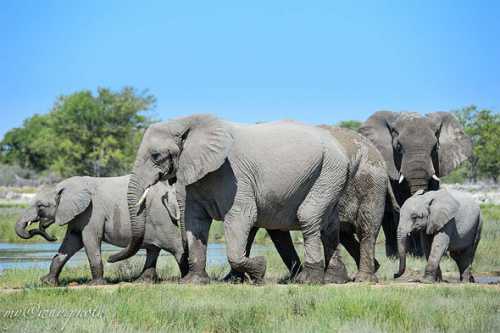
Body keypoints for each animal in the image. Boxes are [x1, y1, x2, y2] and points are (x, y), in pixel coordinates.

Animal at [16, 175, 188, 284]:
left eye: (41, 206)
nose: (51, 236)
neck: (63, 186)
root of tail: (170, 195)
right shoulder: (77, 215)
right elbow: (70, 242)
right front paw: (47, 282)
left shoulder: (92, 212)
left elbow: (90, 240)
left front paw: (96, 284)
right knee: (153, 249)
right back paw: (142, 281)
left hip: (161, 218)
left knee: (175, 246)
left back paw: (185, 279)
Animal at [109, 114, 352, 282]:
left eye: (156, 156)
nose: (110, 259)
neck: (186, 121)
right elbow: (195, 222)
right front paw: (193, 282)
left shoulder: (234, 175)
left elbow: (240, 217)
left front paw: (260, 269)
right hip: (329, 174)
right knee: (329, 224)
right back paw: (335, 279)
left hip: (329, 169)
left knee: (308, 215)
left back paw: (308, 280)